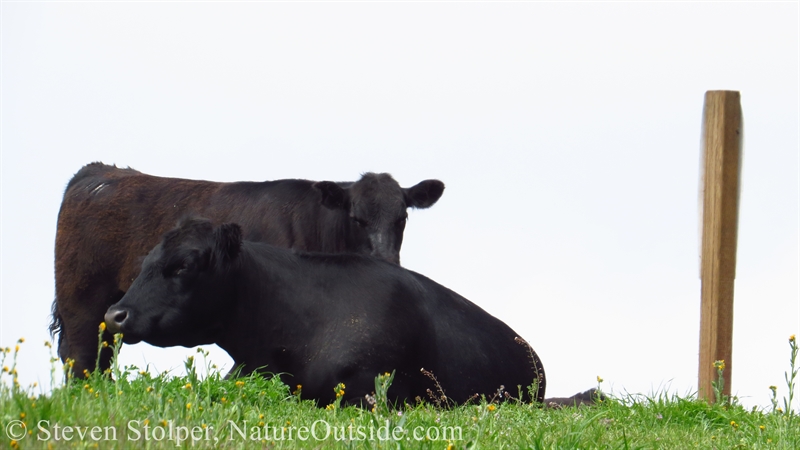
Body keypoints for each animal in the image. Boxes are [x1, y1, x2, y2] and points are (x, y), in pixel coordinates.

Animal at [53, 163, 446, 378]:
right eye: (357, 218)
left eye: (402, 218)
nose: (387, 259)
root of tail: (98, 172)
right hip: (82, 301)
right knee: (82, 360)